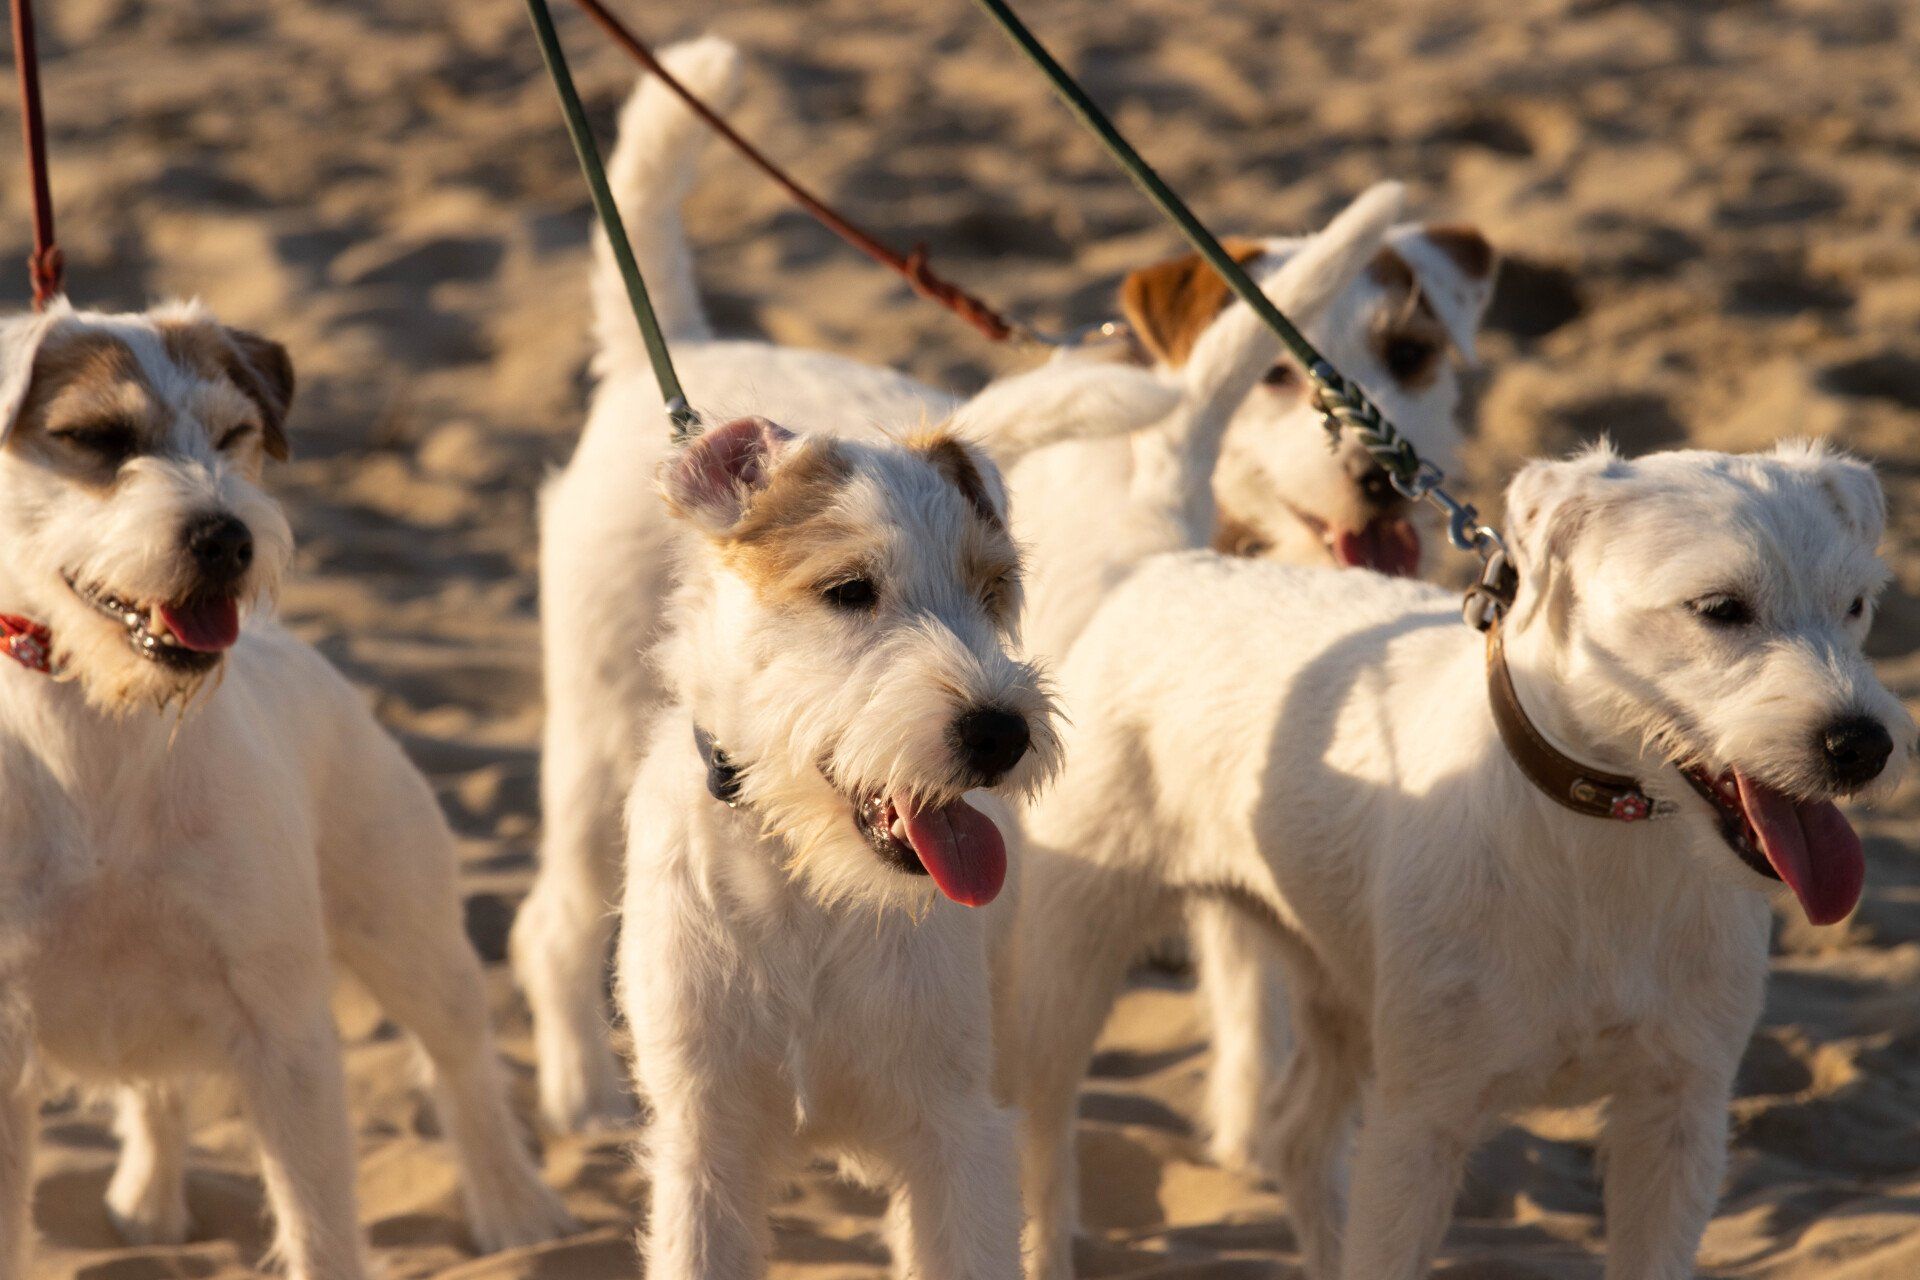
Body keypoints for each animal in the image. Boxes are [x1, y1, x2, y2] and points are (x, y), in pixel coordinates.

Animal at [0, 300, 573, 1280]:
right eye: (94, 438)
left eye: (234, 436)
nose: (227, 537)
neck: (101, 726)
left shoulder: (287, 1036)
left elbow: (320, 1225)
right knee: (159, 1091)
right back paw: (148, 1202)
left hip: (411, 941)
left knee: (462, 1063)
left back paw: (516, 1211)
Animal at [511, 34, 1490, 1135]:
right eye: (1278, 380)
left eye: (1411, 356)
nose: (1377, 475)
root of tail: (681, 355)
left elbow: (1255, 987)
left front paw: (1248, 1135)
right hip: (600, 728)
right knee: (553, 917)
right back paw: (582, 1095)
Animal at [1005, 440, 1913, 1279]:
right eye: (1720, 607)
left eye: (1856, 606)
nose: (1863, 745)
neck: (1606, 837)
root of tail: (1163, 566)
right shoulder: (1419, 1127)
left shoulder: (1678, 1115)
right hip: (1065, 965)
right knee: (1042, 1138)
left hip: (1336, 980)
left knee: (1296, 1136)